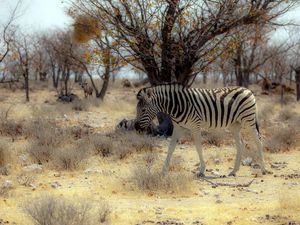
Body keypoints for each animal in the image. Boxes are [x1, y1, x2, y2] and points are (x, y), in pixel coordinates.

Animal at [134, 83, 268, 177]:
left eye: (143, 110)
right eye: (137, 109)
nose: (136, 127)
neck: (178, 105)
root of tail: (247, 89)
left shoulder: (195, 125)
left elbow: (198, 147)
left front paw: (202, 170)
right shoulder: (178, 127)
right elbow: (171, 148)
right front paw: (163, 171)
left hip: (248, 119)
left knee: (259, 141)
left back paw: (263, 169)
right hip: (235, 125)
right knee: (240, 144)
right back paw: (234, 171)